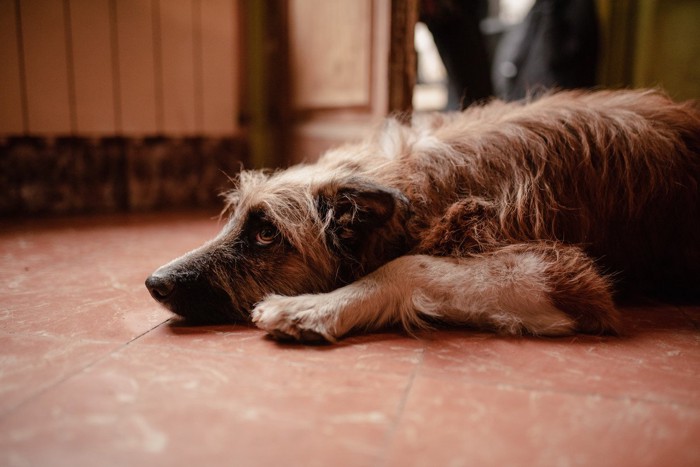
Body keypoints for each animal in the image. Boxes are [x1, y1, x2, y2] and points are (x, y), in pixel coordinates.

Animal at [144, 88, 700, 344]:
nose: (154, 282)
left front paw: (313, 308)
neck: (420, 185)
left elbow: (408, 265)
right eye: (237, 219)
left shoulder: (569, 278)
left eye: (264, 234)